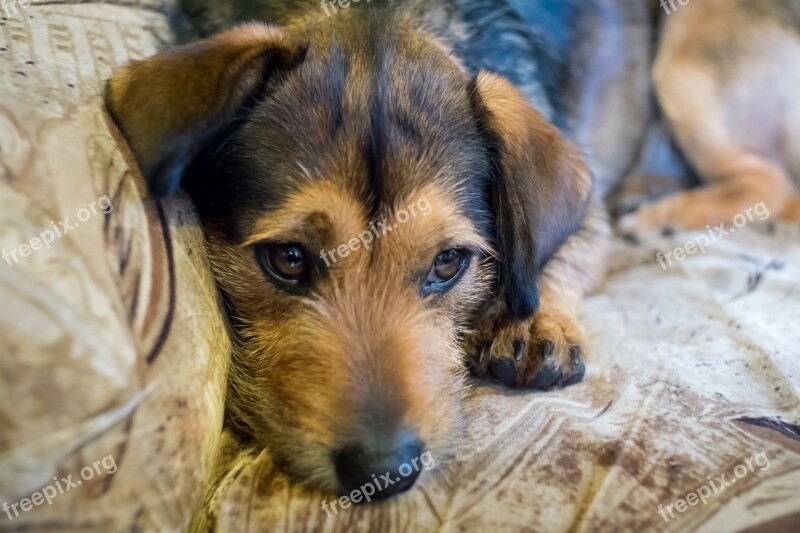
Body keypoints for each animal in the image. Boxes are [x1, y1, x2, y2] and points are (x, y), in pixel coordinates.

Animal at [104, 0, 648, 494]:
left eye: (448, 262)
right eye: (288, 259)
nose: (384, 474)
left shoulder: (591, 208)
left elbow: (562, 252)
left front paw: (534, 320)